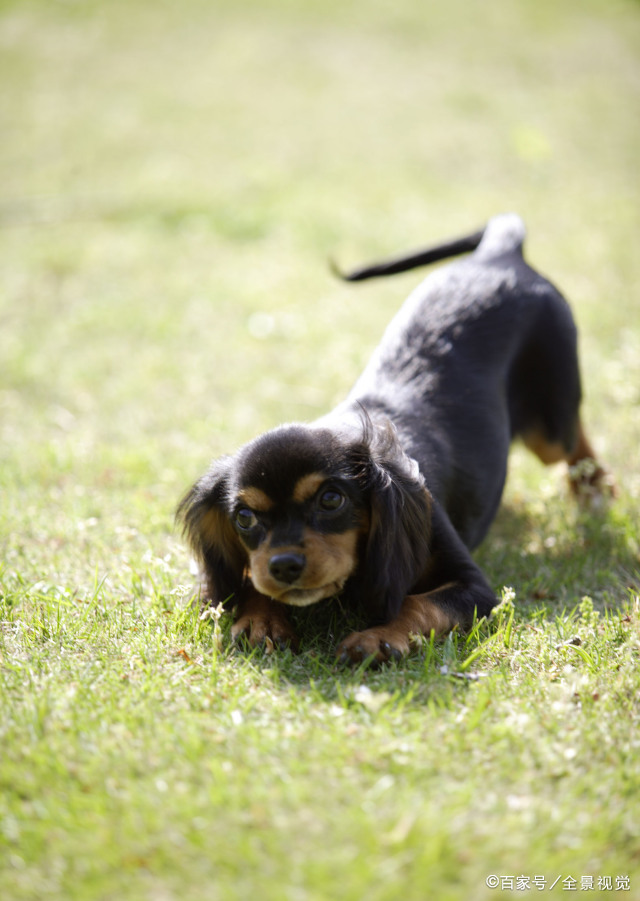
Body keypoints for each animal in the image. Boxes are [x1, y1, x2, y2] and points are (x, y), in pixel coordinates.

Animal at [178, 211, 608, 660]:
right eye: (244, 518)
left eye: (331, 499)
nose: (283, 565)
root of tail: (500, 252)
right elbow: (245, 579)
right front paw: (261, 618)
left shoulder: (474, 587)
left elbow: (418, 603)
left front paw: (377, 638)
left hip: (549, 425)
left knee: (574, 441)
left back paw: (594, 491)